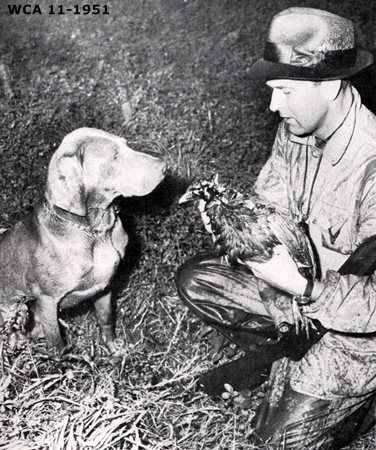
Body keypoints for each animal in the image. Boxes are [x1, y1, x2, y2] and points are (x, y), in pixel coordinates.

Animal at [0, 128, 166, 354]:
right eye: (114, 156)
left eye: (126, 145)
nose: (164, 167)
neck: (97, 231)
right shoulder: (47, 302)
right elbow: (58, 348)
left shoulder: (104, 287)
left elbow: (106, 321)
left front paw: (114, 350)